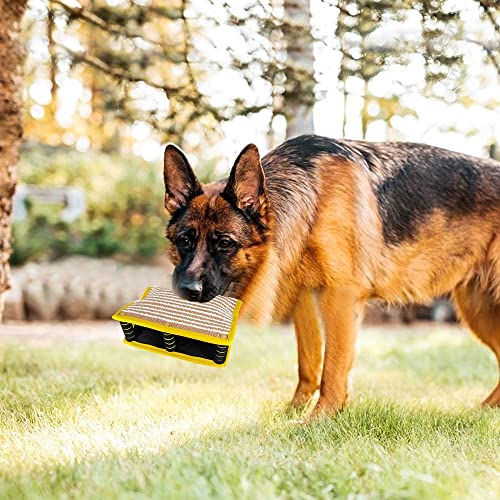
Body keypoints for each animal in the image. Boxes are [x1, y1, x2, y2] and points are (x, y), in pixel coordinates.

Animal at [163, 134, 500, 414]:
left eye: (224, 243)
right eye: (184, 241)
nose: (187, 290)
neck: (314, 199)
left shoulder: (340, 296)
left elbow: (334, 366)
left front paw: (319, 418)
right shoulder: (305, 298)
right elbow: (310, 362)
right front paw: (295, 411)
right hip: (478, 309)